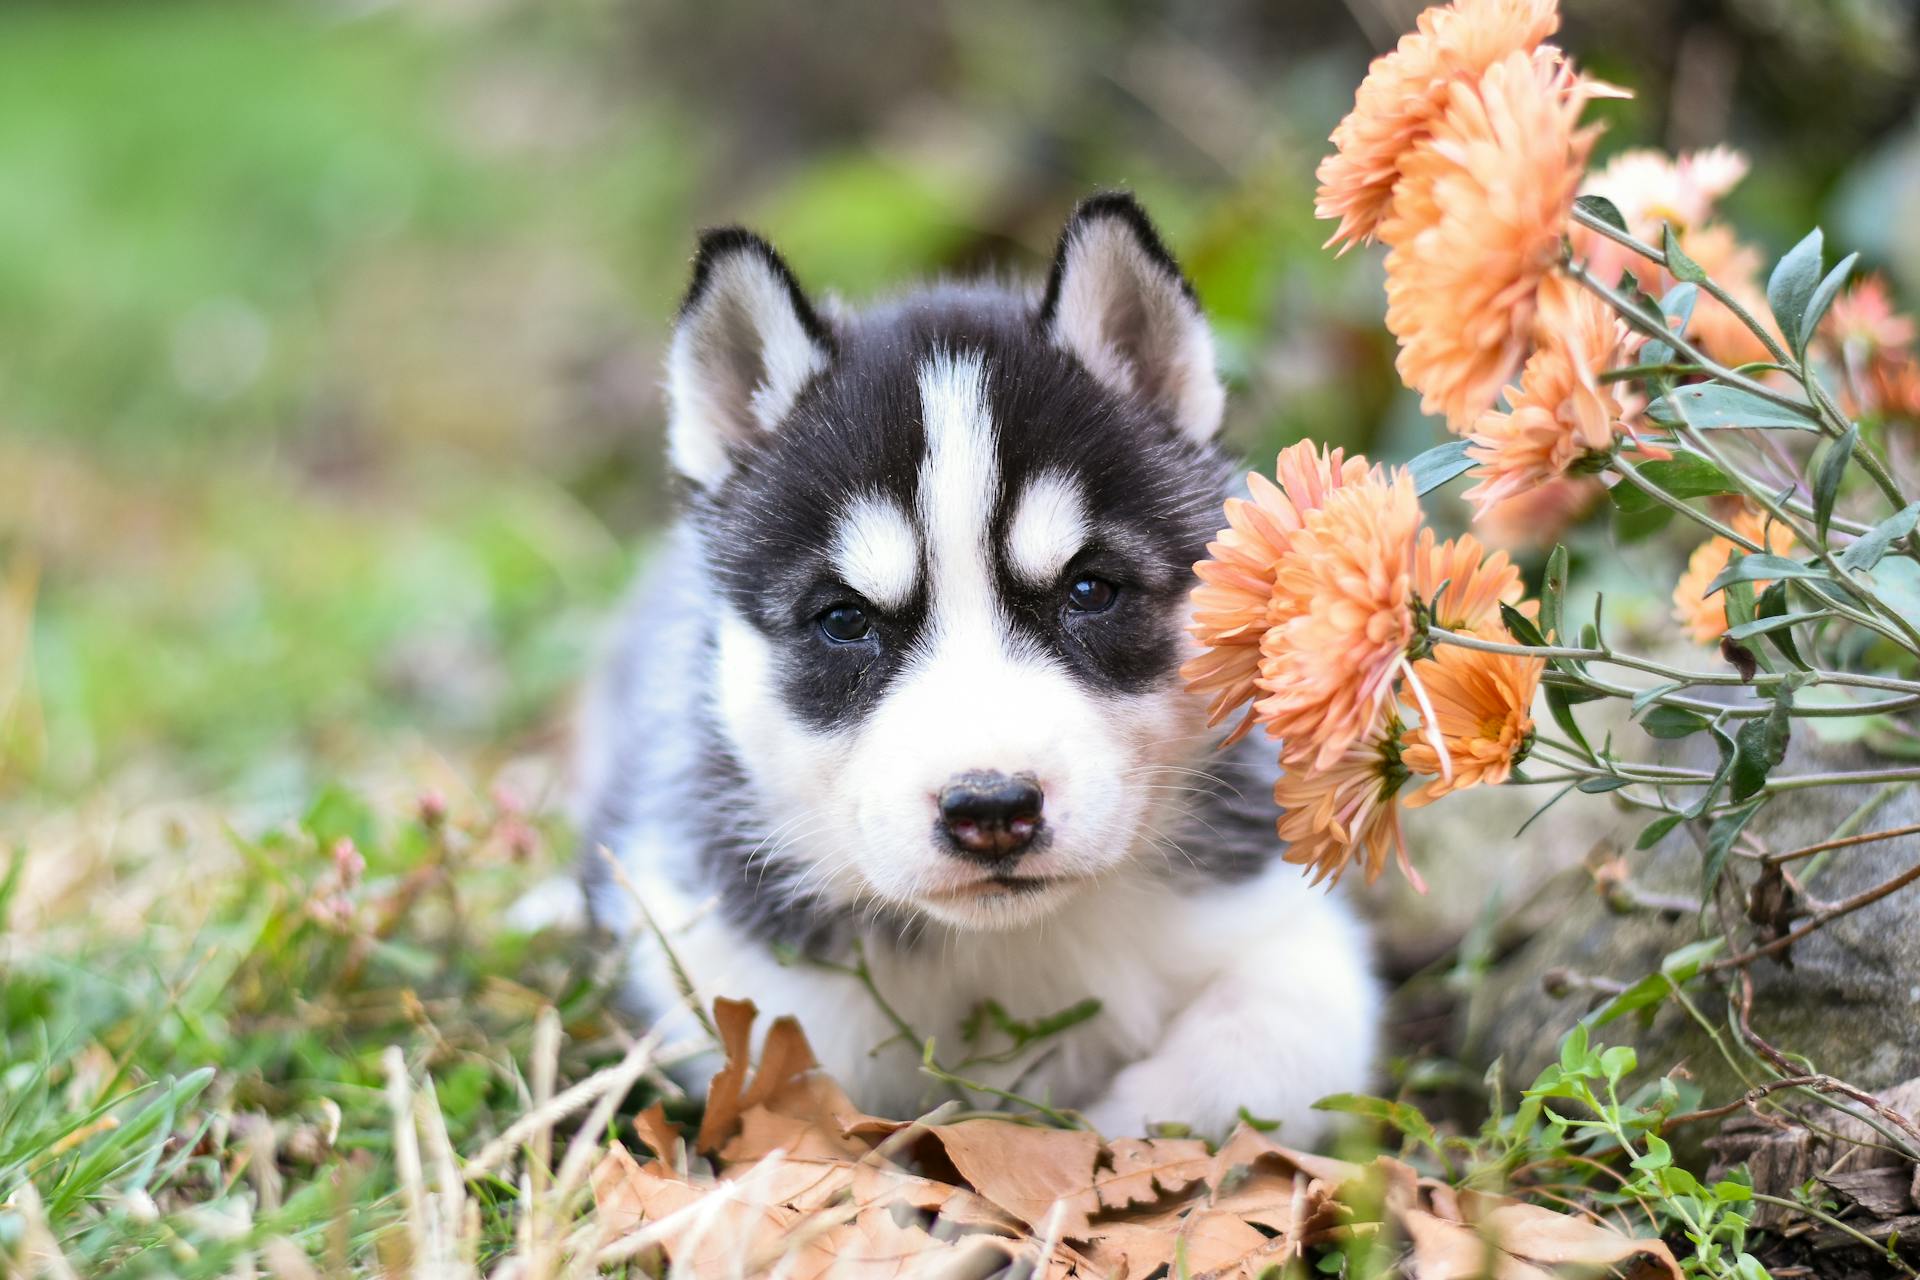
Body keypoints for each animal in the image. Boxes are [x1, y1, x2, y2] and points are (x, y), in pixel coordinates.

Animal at [579, 192, 1382, 1143]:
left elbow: (1260, 1057)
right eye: (844, 620)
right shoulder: (717, 950)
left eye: (1090, 590)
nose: (991, 811)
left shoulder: (1289, 928)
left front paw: (1108, 1125)